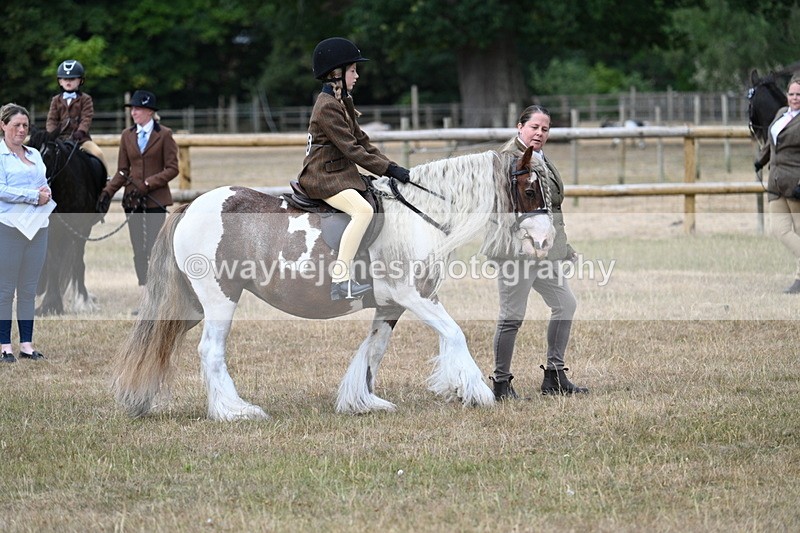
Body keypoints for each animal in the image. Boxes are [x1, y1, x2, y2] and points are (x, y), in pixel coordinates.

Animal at [27, 128, 107, 315]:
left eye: (48, 155)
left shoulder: (82, 229)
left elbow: (78, 263)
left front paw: (84, 302)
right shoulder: (53, 230)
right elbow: (54, 262)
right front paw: (50, 304)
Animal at [112, 146, 555, 420]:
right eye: (531, 188)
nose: (546, 240)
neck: (420, 215)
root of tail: (190, 207)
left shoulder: (393, 304)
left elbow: (374, 350)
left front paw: (363, 401)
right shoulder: (413, 296)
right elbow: (455, 333)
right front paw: (475, 391)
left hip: (190, 305)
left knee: (162, 339)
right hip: (220, 299)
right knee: (210, 351)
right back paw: (234, 411)